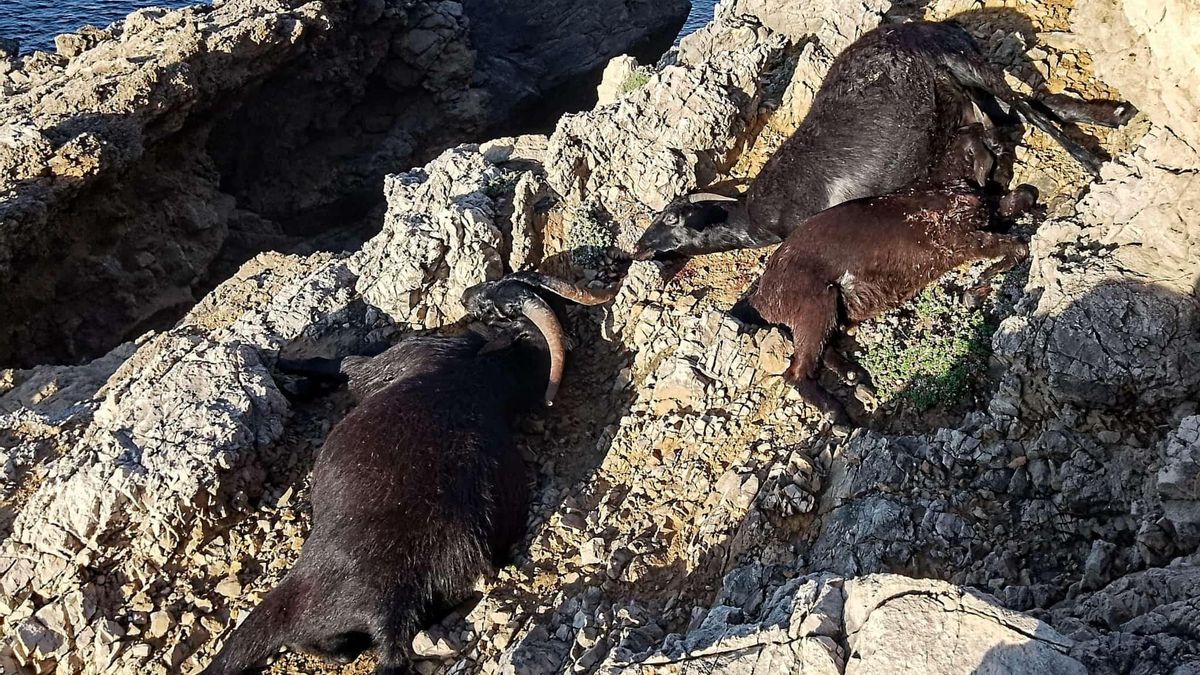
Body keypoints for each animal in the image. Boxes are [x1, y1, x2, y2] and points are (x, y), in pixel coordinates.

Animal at [201, 272, 616, 675]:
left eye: (492, 300)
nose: (468, 294)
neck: (491, 373)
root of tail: (390, 612)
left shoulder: (394, 360)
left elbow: (342, 365)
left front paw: (285, 363)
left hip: (290, 600)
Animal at [632, 20, 1133, 259]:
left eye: (669, 218)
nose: (637, 249)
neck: (757, 215)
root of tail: (941, 28)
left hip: (964, 64)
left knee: (1026, 107)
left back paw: (1093, 159)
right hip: (963, 82)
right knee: (1019, 112)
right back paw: (1112, 114)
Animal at [736, 180, 1037, 425]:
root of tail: (761, 297)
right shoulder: (961, 241)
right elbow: (1018, 246)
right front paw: (977, 287)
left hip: (827, 313)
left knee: (819, 351)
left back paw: (851, 373)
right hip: (818, 303)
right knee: (797, 372)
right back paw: (838, 414)